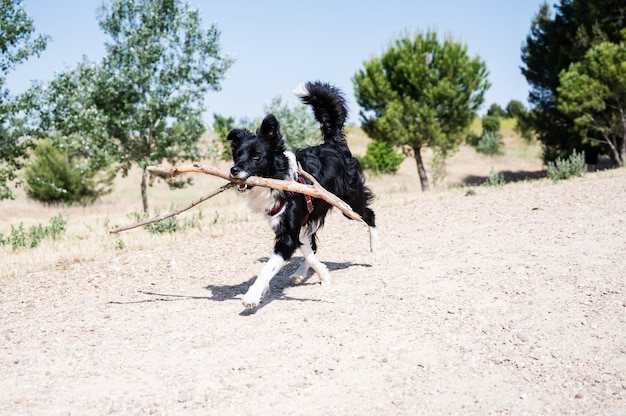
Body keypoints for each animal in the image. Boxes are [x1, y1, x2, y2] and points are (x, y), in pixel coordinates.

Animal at [228, 81, 376, 308]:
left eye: (256, 157)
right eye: (237, 155)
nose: (233, 170)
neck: (277, 179)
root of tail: (334, 144)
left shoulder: (288, 234)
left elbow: (269, 266)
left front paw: (252, 296)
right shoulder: (291, 226)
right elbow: (308, 251)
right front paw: (323, 274)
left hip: (349, 203)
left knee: (369, 215)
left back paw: (375, 247)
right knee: (311, 242)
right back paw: (300, 273)